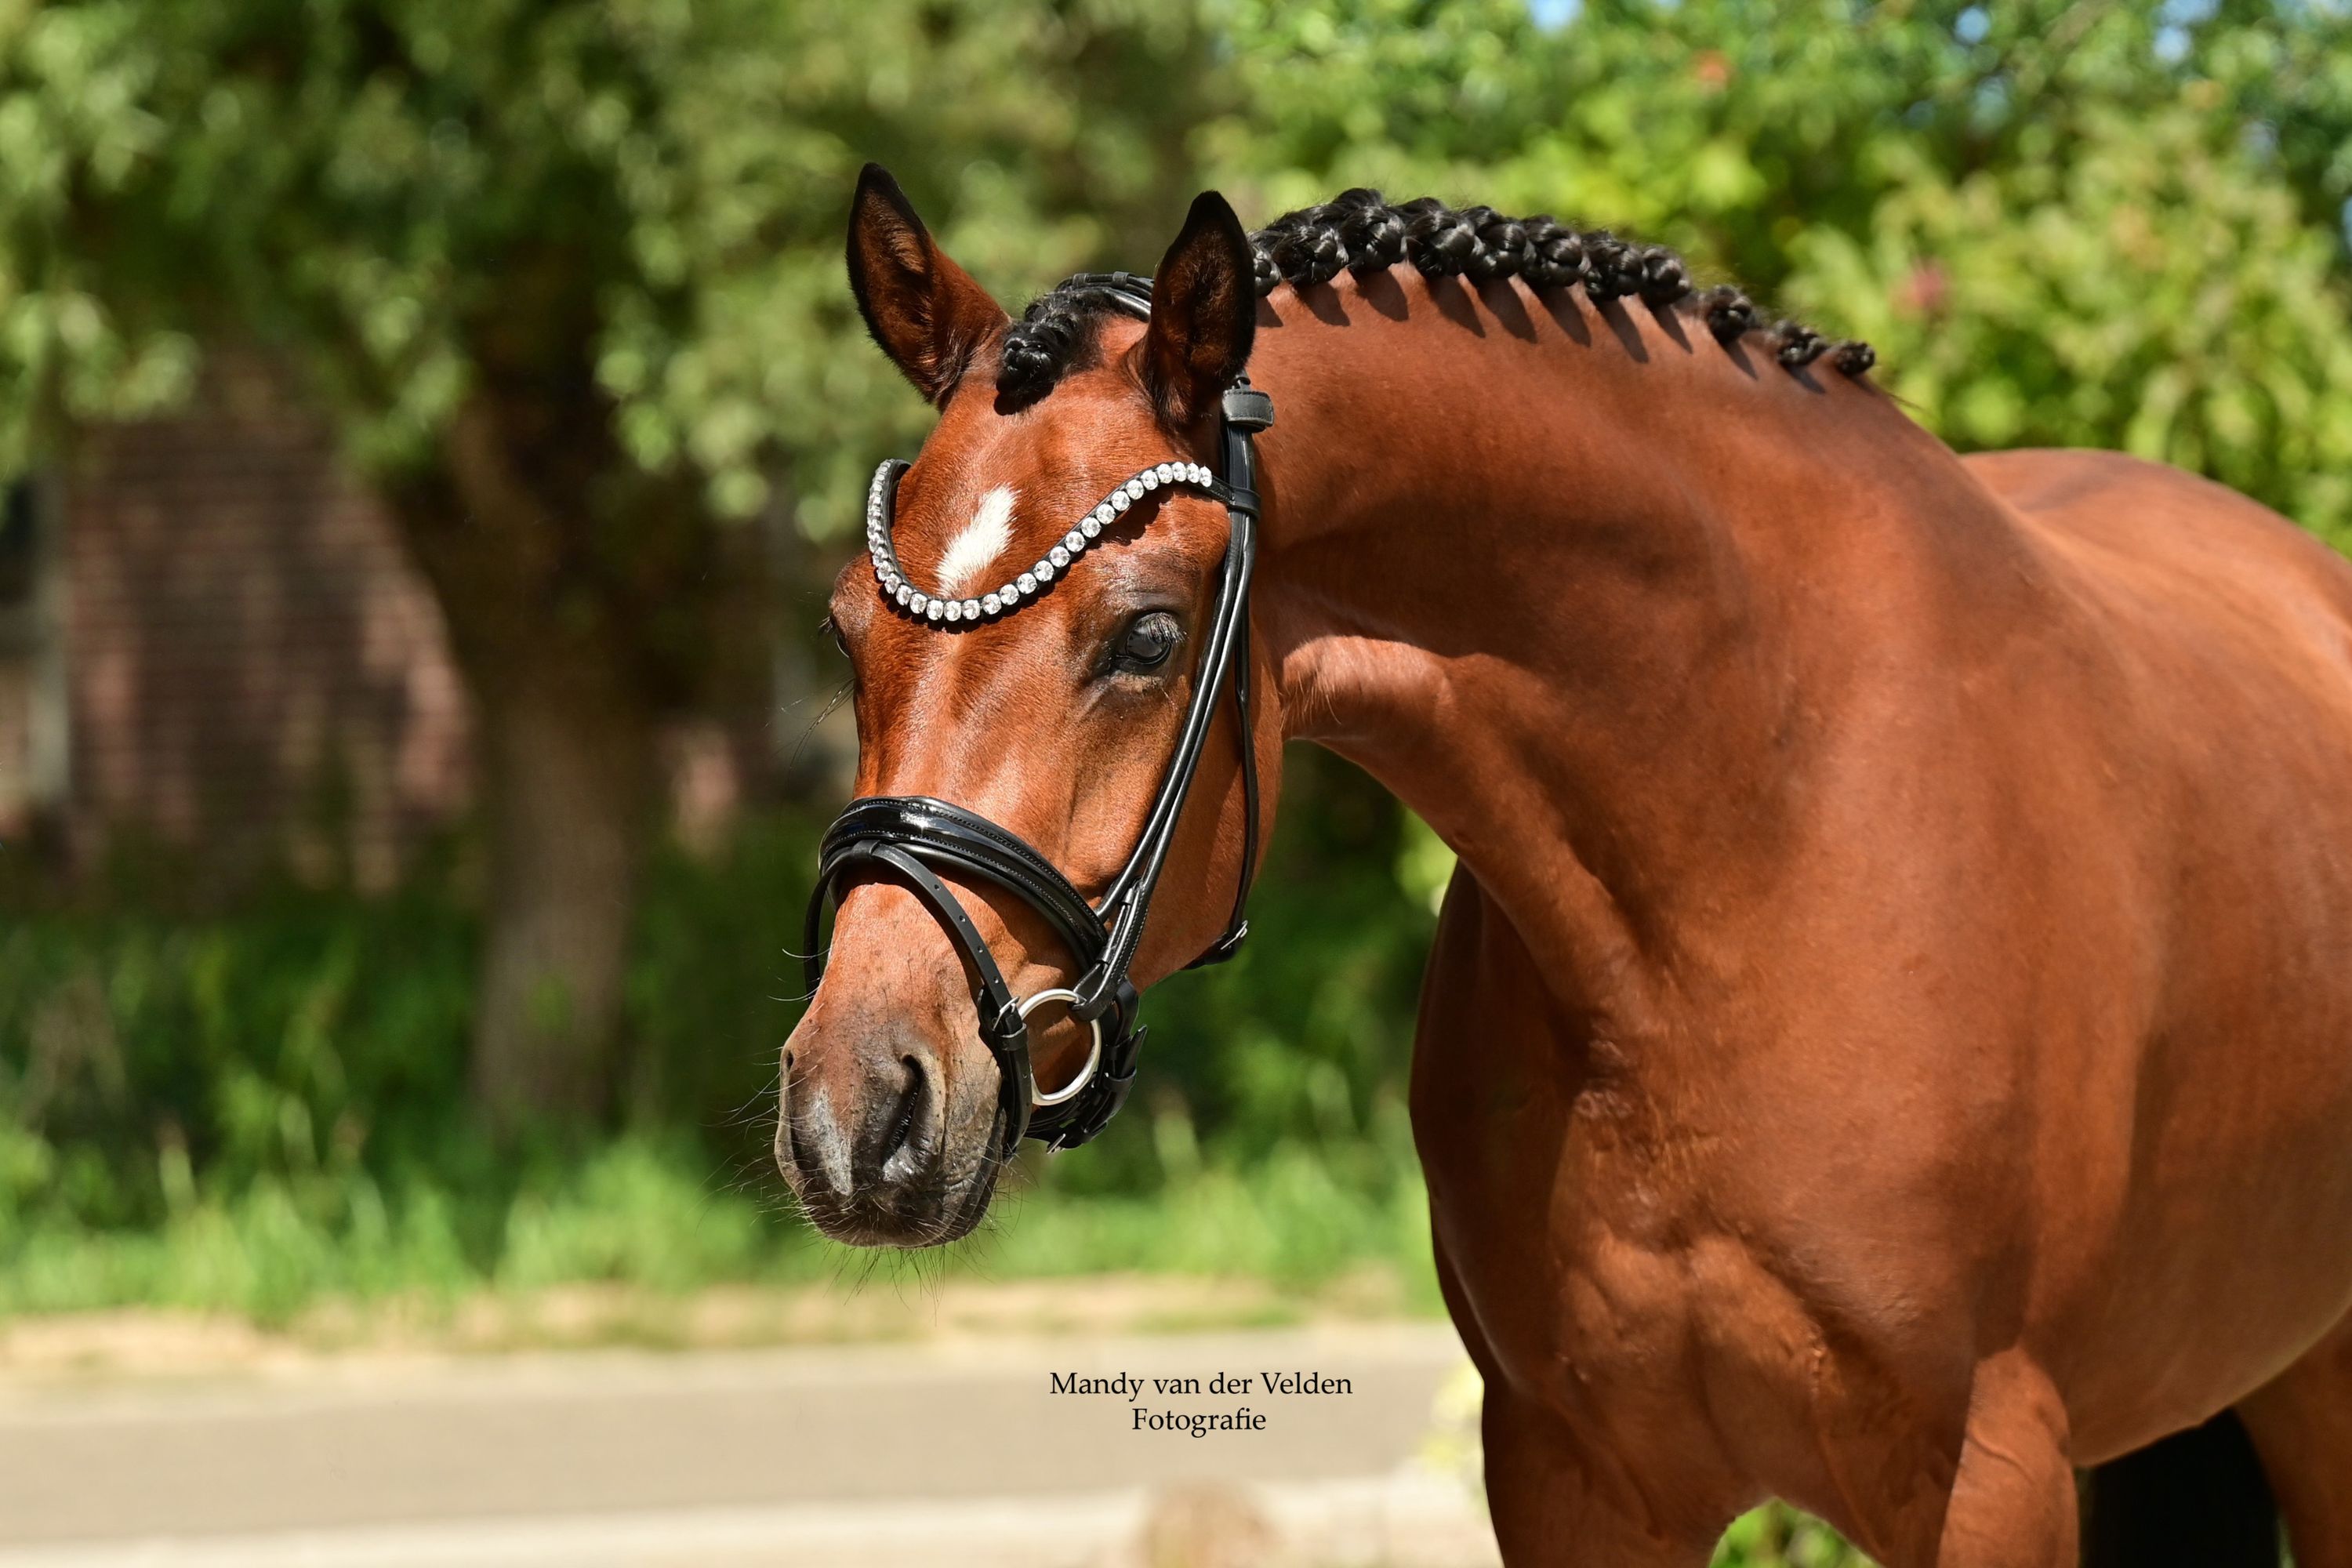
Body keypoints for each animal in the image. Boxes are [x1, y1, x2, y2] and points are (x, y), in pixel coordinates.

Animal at [778, 166, 2352, 1567]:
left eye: (1148, 636)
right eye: (850, 628)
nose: (857, 1116)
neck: (1756, 850)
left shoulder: (1991, 1479)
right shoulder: (1568, 1477)